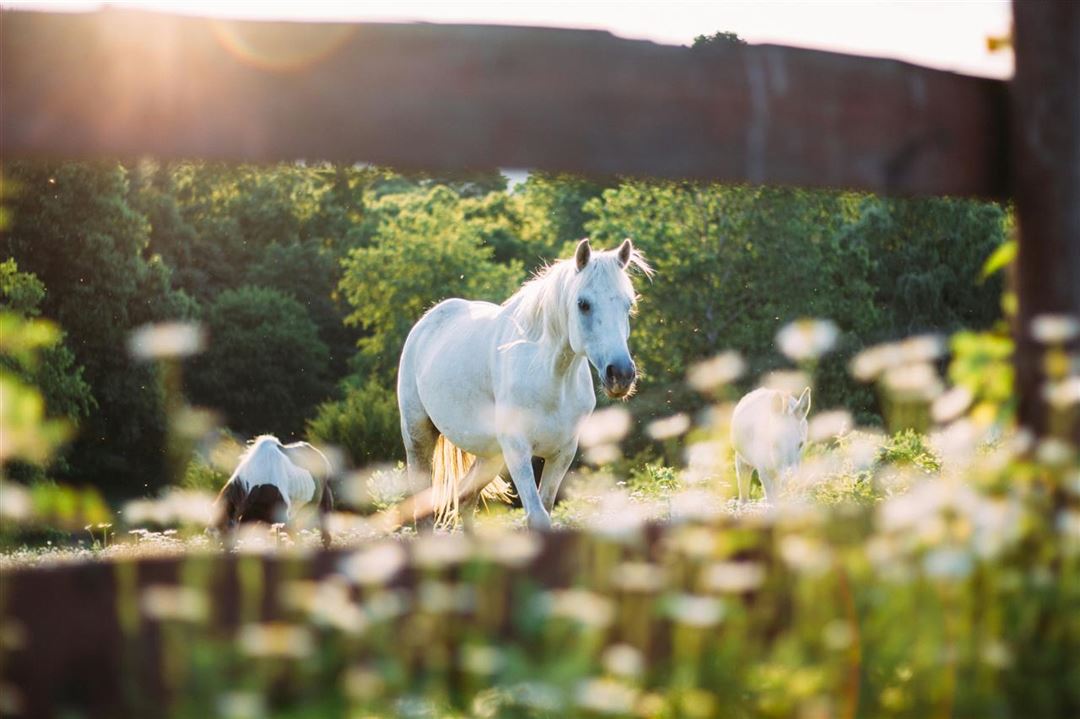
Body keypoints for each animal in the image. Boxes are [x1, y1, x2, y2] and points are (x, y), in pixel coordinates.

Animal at [397, 237, 648, 524]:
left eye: (628, 305)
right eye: (583, 304)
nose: (621, 374)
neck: (550, 379)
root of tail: (426, 322)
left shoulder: (562, 453)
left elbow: (546, 507)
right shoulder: (518, 450)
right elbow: (537, 516)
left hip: (490, 456)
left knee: (466, 498)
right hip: (418, 436)